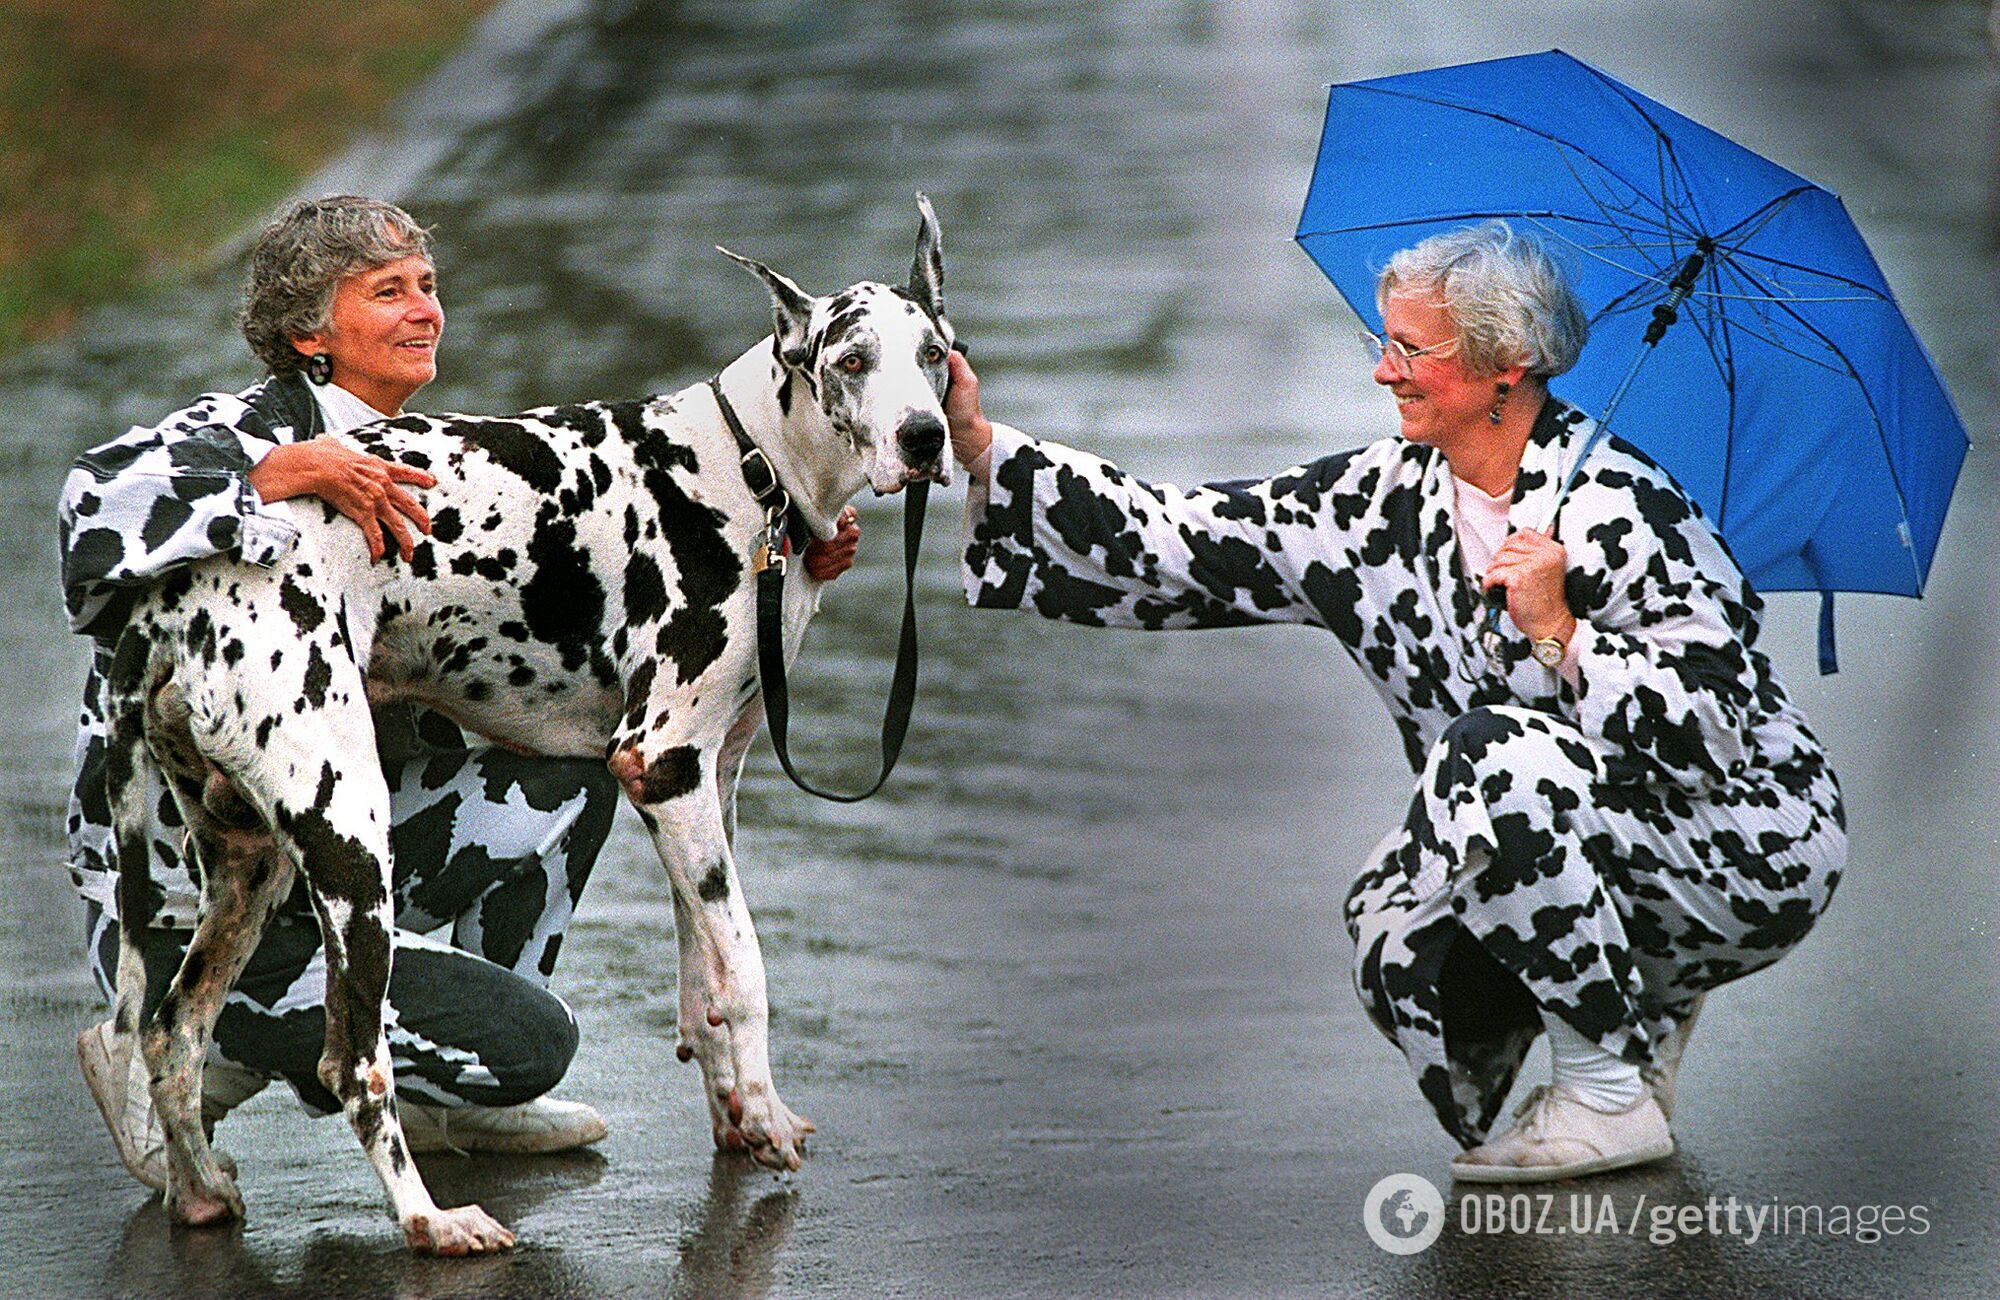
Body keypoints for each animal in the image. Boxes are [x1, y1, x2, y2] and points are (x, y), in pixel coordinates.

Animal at [97, 197, 956, 1248]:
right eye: (853, 360)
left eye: (935, 353)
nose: (924, 436)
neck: (745, 463)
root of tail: (174, 592)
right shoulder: (662, 765)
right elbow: (747, 972)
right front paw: (764, 1115)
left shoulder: (706, 787)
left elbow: (704, 979)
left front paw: (739, 1115)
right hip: (353, 849)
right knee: (352, 1062)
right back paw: (430, 1222)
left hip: (249, 866)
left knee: (174, 1029)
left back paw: (199, 1192)